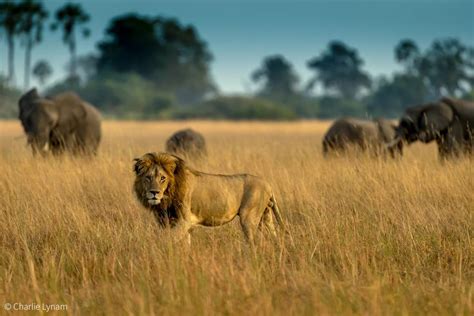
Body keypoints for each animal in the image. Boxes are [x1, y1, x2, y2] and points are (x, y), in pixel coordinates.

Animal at [132, 152, 286, 243]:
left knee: (253, 243)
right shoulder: (173, 223)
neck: (167, 196)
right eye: (148, 177)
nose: (154, 192)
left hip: (249, 219)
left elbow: (168, 240)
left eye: (162, 178)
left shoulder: (184, 221)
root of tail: (268, 184)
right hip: (265, 216)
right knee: (274, 236)